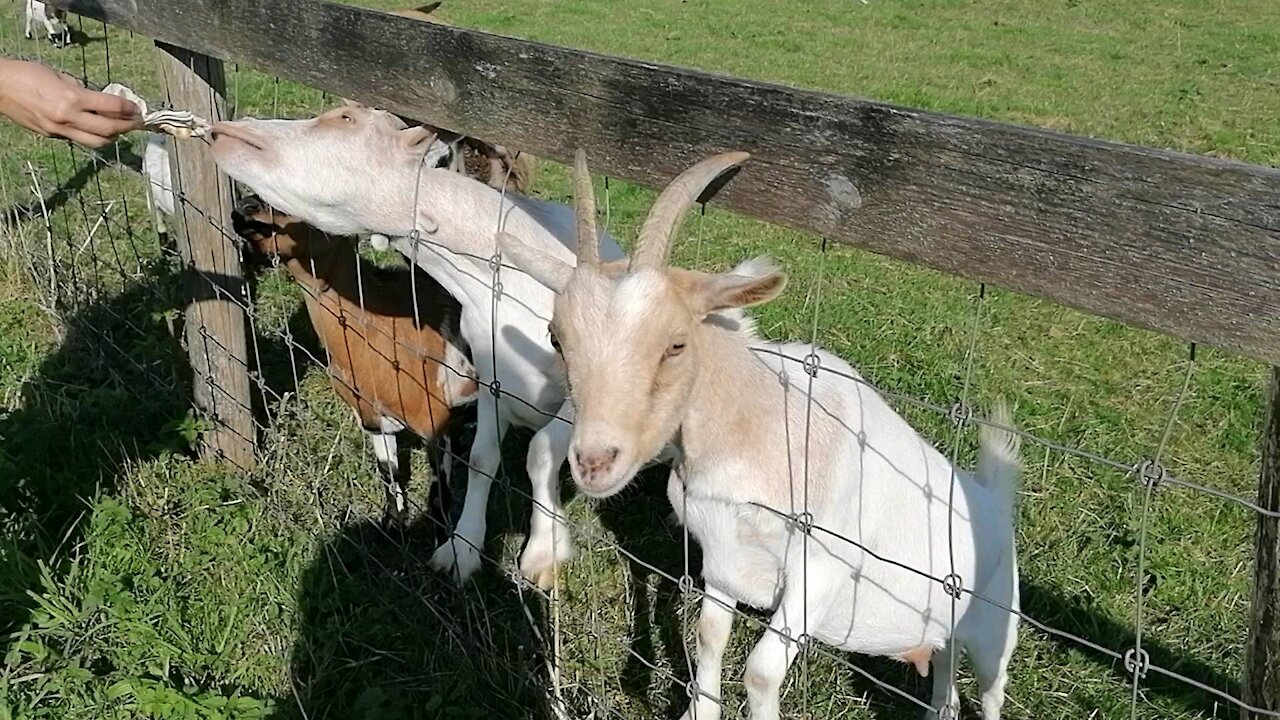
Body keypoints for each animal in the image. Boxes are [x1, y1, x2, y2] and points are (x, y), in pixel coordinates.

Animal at [232, 193, 478, 535]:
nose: (244, 208)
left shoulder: (433, 418)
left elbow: (439, 494)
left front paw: (443, 541)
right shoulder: (371, 416)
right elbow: (388, 472)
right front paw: (391, 523)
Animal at [496, 151, 1018, 717]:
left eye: (676, 344)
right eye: (556, 338)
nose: (593, 462)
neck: (760, 428)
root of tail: (994, 501)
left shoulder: (821, 573)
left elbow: (762, 671)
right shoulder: (721, 557)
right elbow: (708, 634)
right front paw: (700, 709)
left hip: (997, 628)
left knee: (992, 686)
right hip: (944, 632)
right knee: (945, 673)